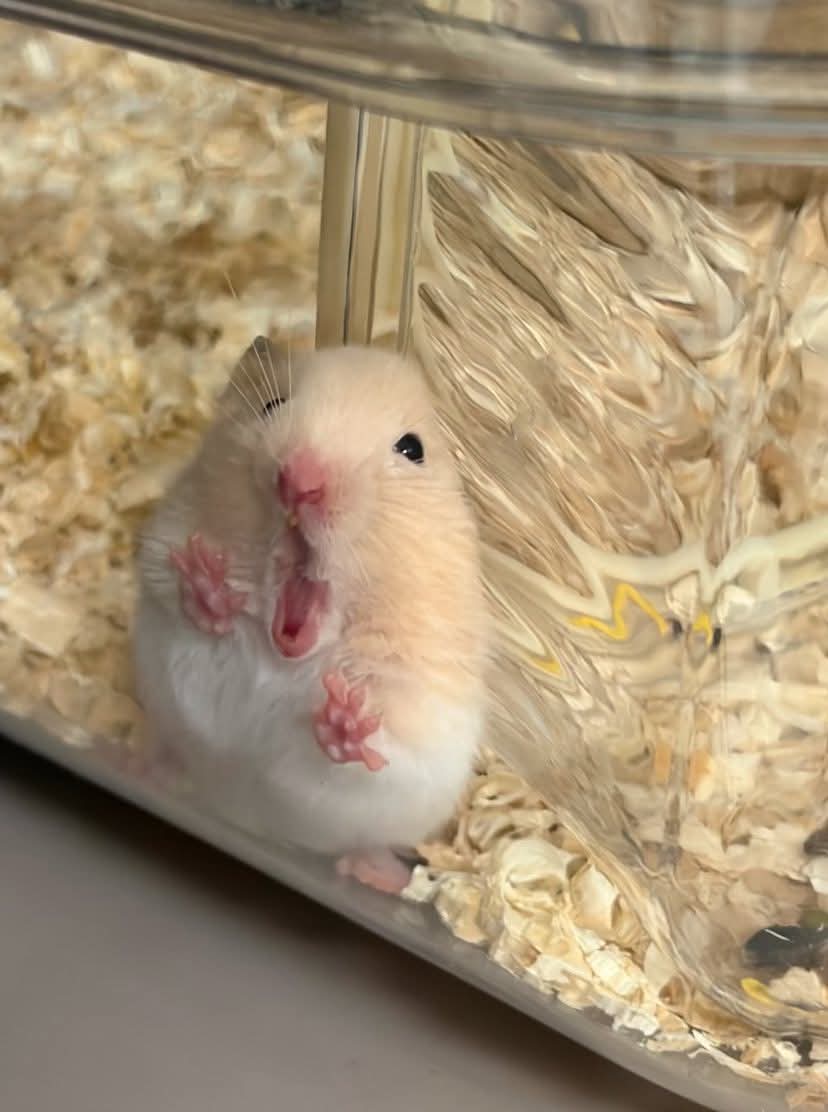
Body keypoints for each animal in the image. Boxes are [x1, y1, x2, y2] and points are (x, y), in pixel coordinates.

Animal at [132, 339, 489, 894]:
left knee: (368, 847)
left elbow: (389, 736)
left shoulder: (424, 700)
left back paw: (377, 876)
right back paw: (141, 767)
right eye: (273, 404)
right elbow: (176, 589)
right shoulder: (164, 538)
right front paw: (208, 582)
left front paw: (345, 715)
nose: (300, 480)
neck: (283, 653)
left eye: (412, 449)